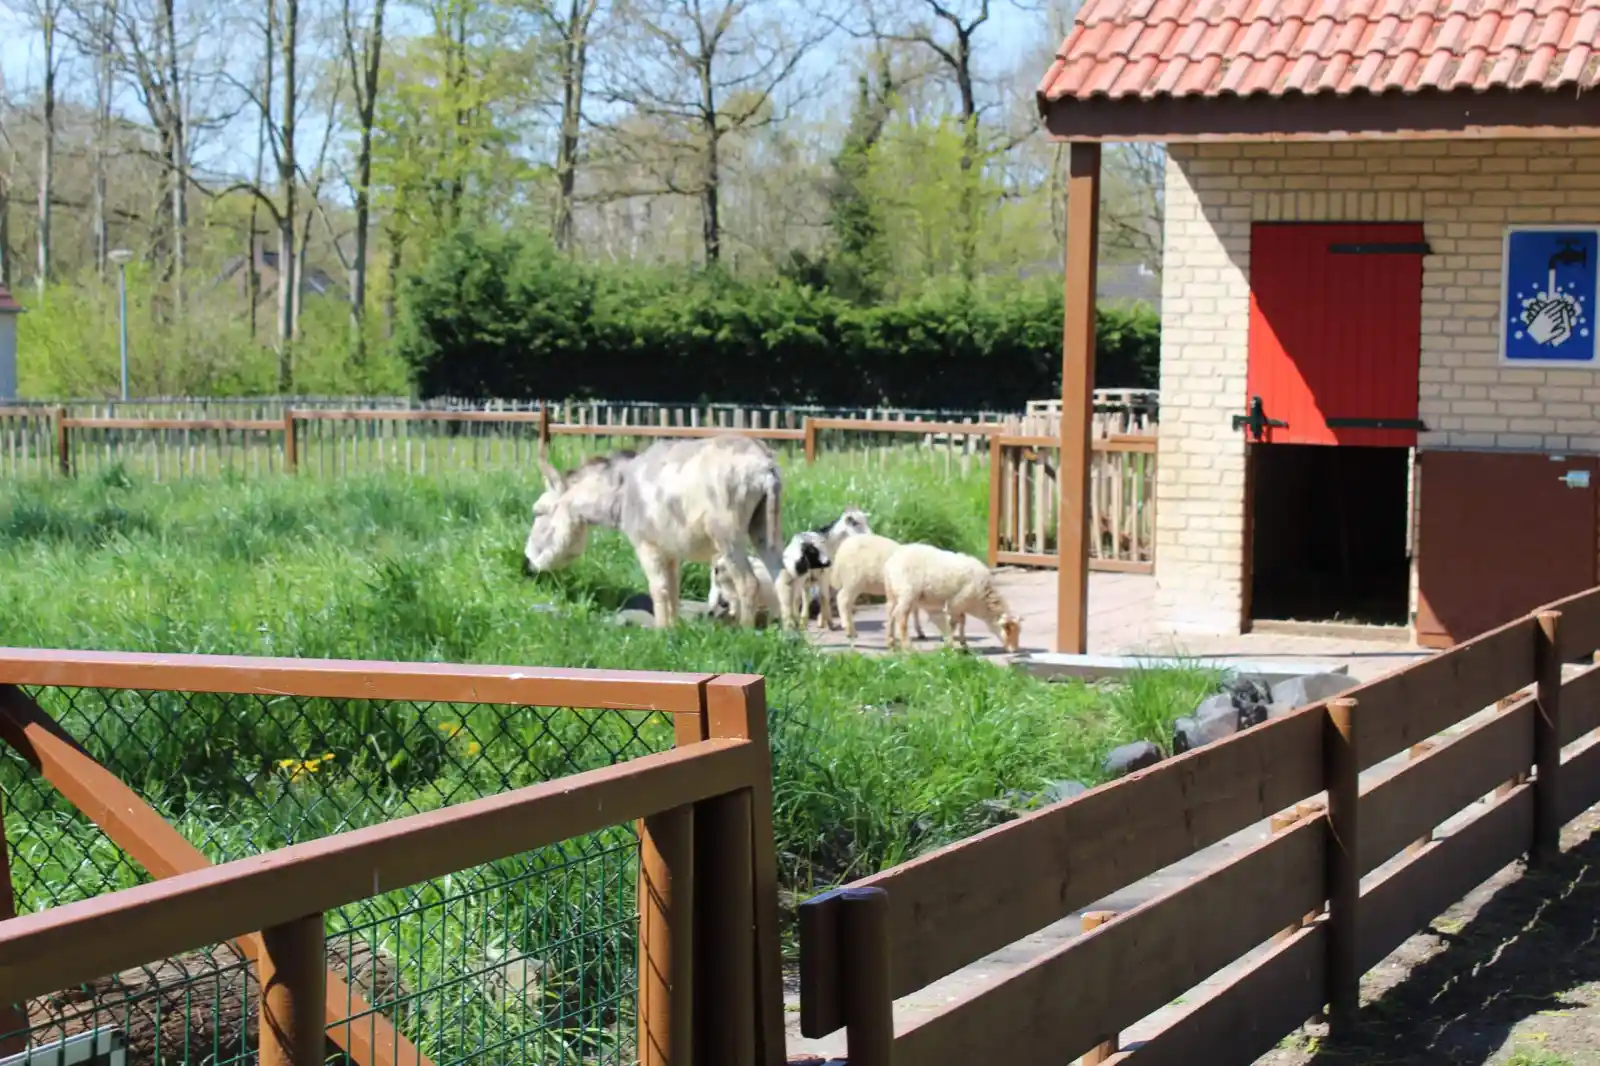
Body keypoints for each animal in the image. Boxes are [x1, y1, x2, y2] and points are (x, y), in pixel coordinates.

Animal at [883, 544, 1017, 653]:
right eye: (1008, 629)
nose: (1014, 650)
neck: (981, 601)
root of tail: (891, 562)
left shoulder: (961, 604)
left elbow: (962, 621)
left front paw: (963, 644)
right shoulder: (956, 602)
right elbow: (953, 623)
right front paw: (950, 645)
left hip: (892, 592)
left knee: (890, 614)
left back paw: (891, 643)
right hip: (907, 592)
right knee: (900, 616)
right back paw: (907, 647)